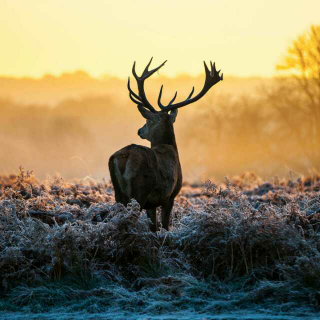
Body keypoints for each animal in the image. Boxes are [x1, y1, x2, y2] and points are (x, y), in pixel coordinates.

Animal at [107, 57, 222, 231]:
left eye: (148, 121)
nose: (139, 131)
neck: (170, 148)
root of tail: (123, 158)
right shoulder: (170, 196)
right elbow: (165, 226)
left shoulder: (152, 203)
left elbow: (154, 227)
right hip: (139, 191)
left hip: (118, 194)